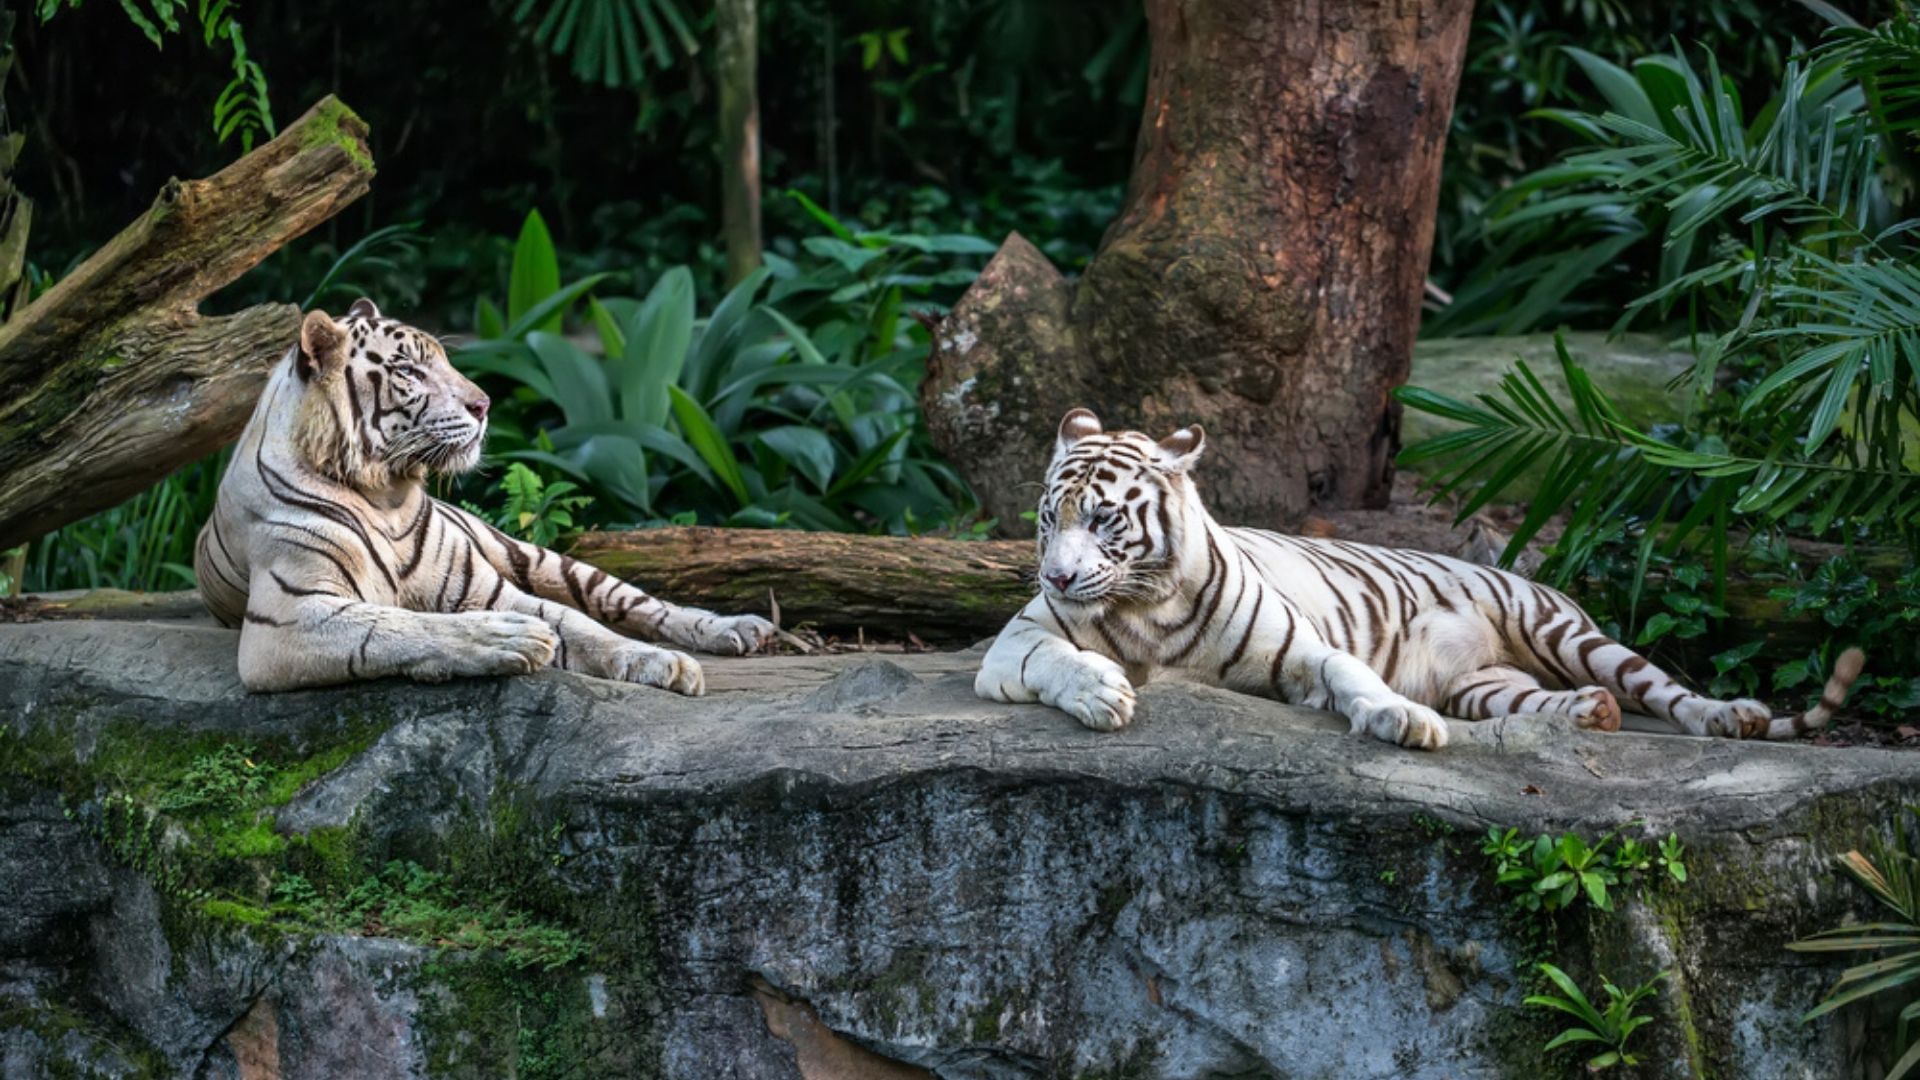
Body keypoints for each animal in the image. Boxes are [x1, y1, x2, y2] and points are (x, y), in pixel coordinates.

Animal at [189, 297, 771, 691]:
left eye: (445, 361)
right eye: (408, 370)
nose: (484, 404)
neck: (386, 496)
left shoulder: (488, 589)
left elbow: (581, 624)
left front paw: (662, 662)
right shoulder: (288, 618)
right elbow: (403, 624)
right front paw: (512, 640)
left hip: (537, 556)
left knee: (636, 602)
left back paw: (739, 629)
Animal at [975, 407, 1858, 753]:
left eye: (1104, 520)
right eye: (1048, 519)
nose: (1057, 576)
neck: (1145, 605)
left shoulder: (1301, 649)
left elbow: (1350, 673)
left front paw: (1403, 721)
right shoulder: (1013, 646)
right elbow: (1058, 659)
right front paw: (1101, 692)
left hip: (1567, 632)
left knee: (1666, 690)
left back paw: (1731, 716)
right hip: (1488, 688)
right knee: (1554, 703)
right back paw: (1591, 714)